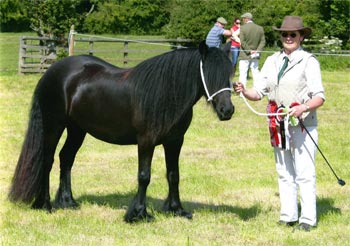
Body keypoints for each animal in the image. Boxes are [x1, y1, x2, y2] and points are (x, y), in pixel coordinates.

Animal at [8, 40, 232, 223]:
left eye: (229, 74)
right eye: (208, 74)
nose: (227, 110)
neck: (166, 94)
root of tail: (52, 71)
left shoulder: (175, 141)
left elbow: (173, 174)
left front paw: (177, 210)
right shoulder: (146, 141)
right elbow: (144, 176)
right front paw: (139, 214)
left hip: (77, 129)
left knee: (66, 158)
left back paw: (67, 201)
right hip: (54, 125)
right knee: (47, 160)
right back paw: (45, 205)